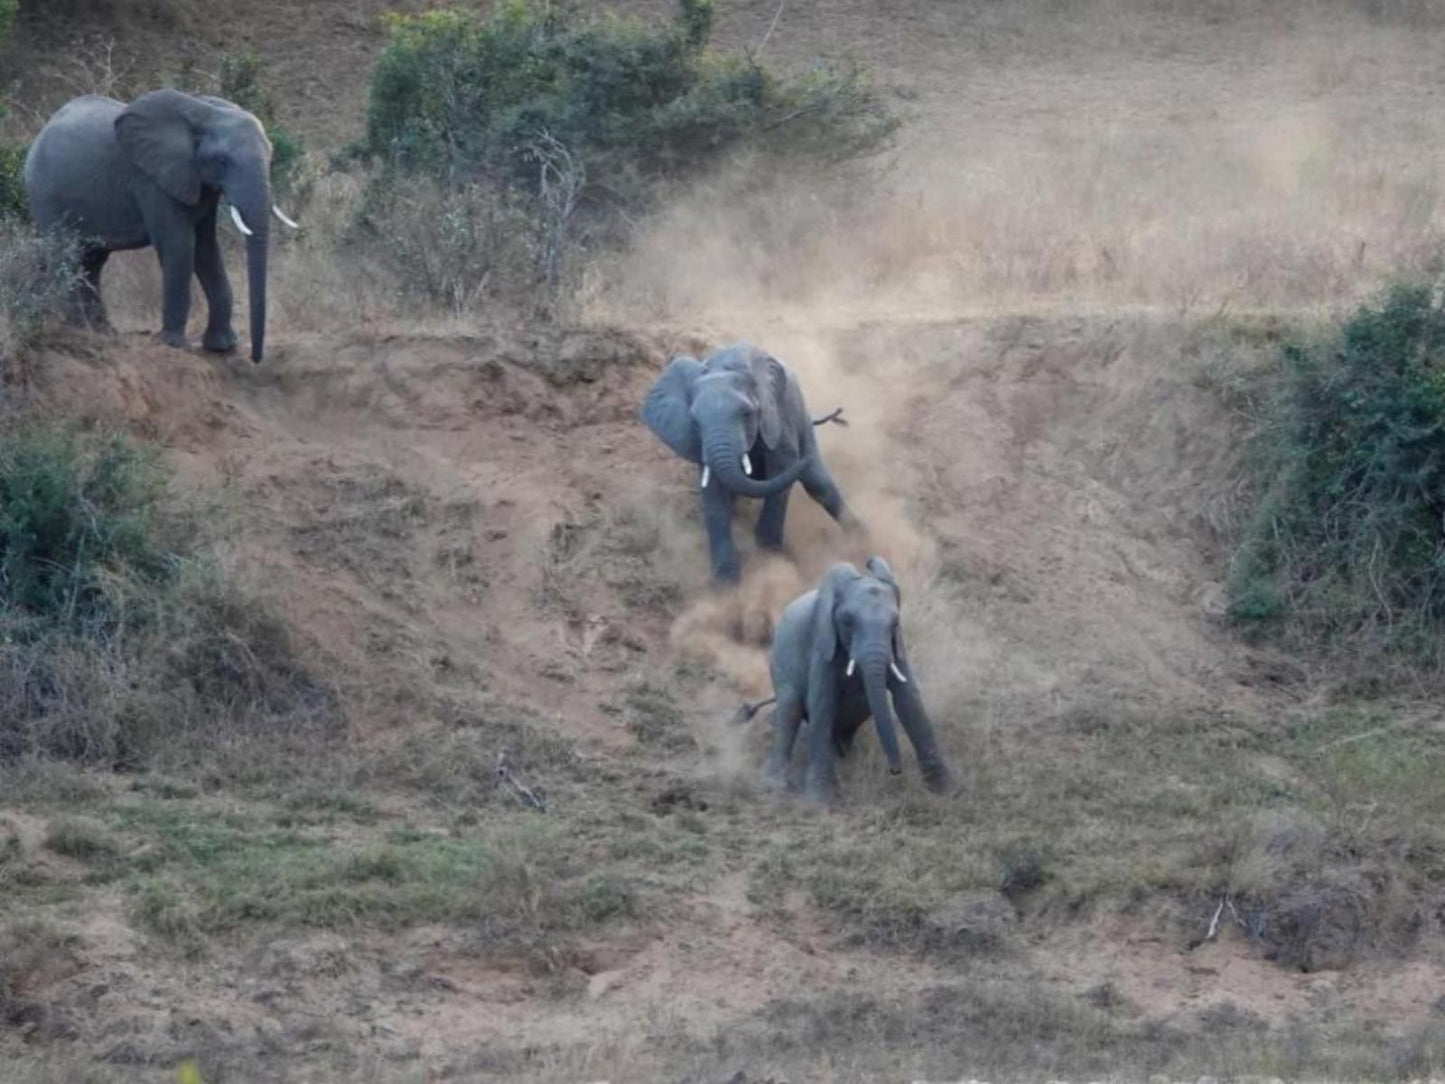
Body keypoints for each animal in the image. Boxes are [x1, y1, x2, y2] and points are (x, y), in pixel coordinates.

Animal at [23, 89, 299, 365]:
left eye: (271, 155)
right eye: (221, 161)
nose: (255, 358)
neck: (207, 113)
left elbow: (206, 248)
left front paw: (222, 347)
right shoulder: (152, 180)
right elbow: (179, 245)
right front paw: (174, 344)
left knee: (92, 261)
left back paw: (102, 331)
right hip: (45, 193)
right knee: (66, 254)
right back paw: (82, 331)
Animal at [641, 343, 855, 589]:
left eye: (747, 414)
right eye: (694, 422)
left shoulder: (777, 415)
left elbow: (784, 464)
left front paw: (768, 552)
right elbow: (714, 494)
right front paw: (726, 585)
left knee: (818, 484)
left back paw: (862, 540)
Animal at [745, 560, 959, 809]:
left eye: (895, 623)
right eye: (847, 622)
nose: (895, 771)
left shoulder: (898, 645)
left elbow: (909, 700)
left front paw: (947, 792)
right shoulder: (822, 644)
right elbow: (822, 704)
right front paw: (818, 802)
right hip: (780, 659)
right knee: (790, 709)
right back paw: (773, 786)